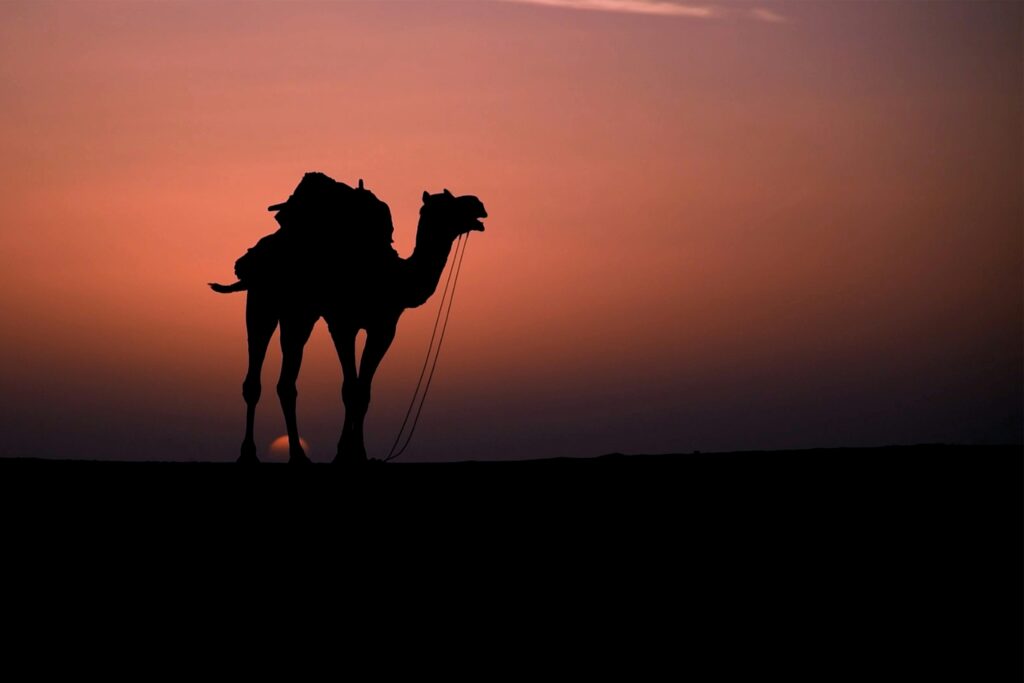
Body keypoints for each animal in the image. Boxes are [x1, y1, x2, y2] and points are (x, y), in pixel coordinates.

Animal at [210, 183, 487, 464]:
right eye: (448, 203)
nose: (478, 204)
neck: (394, 277)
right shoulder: (343, 323)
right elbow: (350, 388)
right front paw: (344, 452)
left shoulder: (383, 327)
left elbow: (363, 391)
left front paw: (358, 453)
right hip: (262, 302)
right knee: (254, 375)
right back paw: (248, 454)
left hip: (298, 314)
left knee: (287, 380)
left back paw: (298, 455)